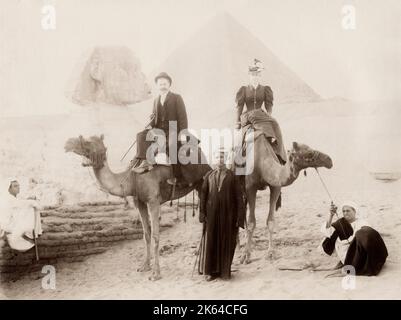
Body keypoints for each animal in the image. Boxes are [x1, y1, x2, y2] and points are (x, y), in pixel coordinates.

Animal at [63, 134, 209, 280]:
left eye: (88, 141)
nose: (67, 144)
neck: (132, 179)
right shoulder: (140, 203)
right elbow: (146, 234)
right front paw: (144, 266)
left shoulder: (153, 201)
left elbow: (155, 235)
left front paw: (156, 273)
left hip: (201, 182)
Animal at [236, 134, 332, 262]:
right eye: (309, 153)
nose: (329, 160)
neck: (262, 163)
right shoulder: (250, 187)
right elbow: (252, 222)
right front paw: (246, 254)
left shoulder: (275, 186)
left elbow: (270, 221)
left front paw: (271, 252)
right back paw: (238, 245)